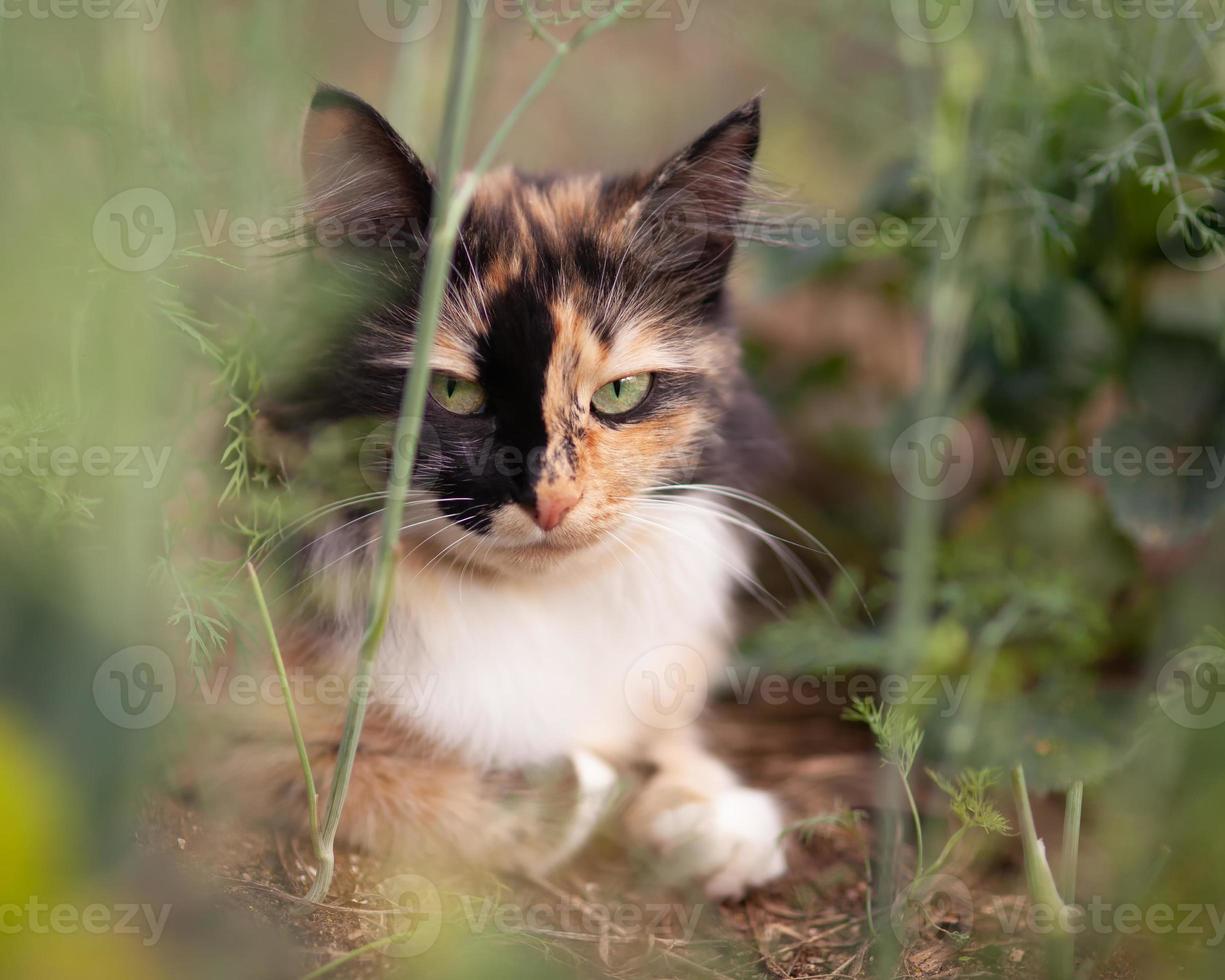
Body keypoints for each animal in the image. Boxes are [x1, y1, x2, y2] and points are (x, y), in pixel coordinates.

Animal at [230, 86, 784, 901]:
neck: (532, 609)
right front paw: (572, 799)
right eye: (454, 394)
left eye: (620, 393)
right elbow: (366, 782)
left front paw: (708, 815)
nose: (550, 500)